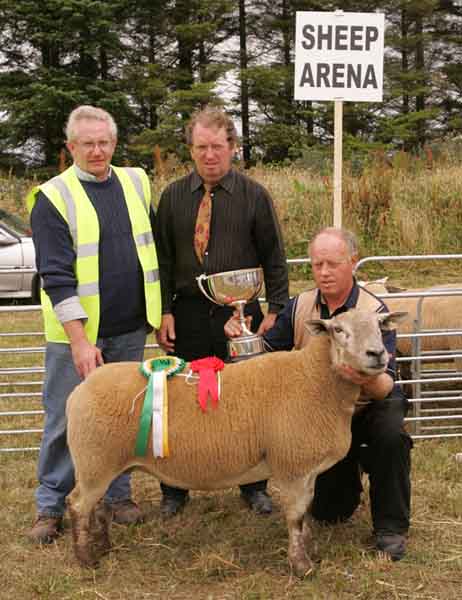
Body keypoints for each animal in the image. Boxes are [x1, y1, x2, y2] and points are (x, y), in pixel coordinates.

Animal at [66, 310, 408, 576]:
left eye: (380, 325)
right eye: (338, 330)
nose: (378, 354)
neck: (315, 379)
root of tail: (82, 387)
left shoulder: (305, 468)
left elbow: (306, 516)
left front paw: (310, 553)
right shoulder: (292, 466)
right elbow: (296, 517)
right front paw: (301, 567)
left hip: (102, 463)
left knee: (97, 505)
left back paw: (102, 546)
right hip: (94, 460)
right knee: (78, 504)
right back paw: (85, 559)